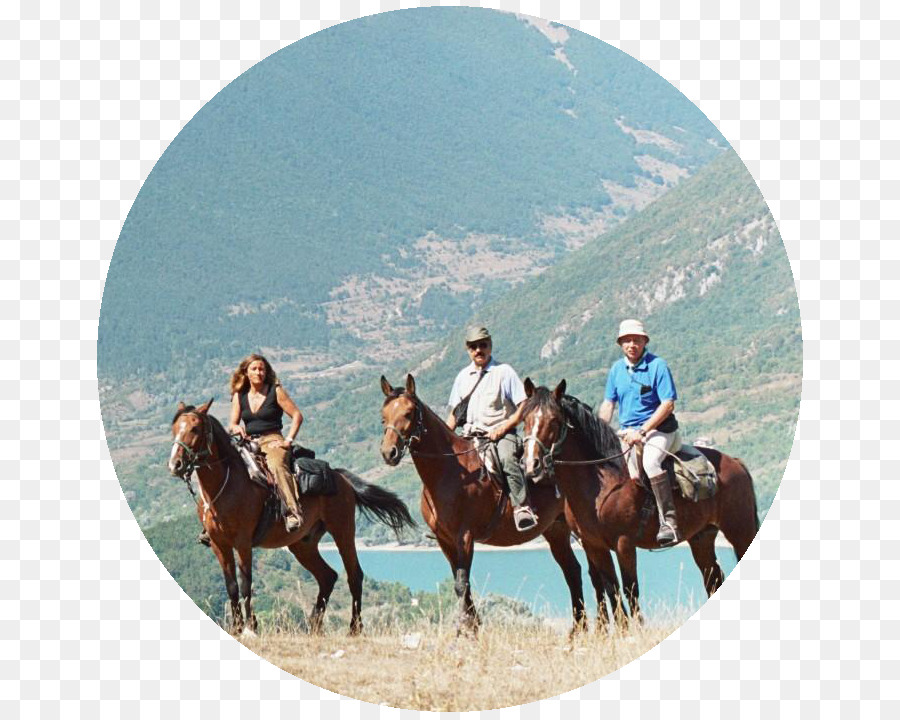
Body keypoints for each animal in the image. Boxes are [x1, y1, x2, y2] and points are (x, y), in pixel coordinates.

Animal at [169, 400, 414, 636]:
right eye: (174, 428)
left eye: (195, 428)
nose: (175, 464)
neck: (226, 486)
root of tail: (340, 477)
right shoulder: (219, 544)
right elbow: (231, 586)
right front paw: (237, 627)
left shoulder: (243, 543)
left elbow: (246, 583)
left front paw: (251, 626)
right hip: (303, 544)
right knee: (327, 576)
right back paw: (313, 626)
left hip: (343, 532)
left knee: (354, 576)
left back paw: (354, 628)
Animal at [376, 374, 624, 632]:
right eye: (384, 415)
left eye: (409, 413)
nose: (389, 452)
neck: (450, 472)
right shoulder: (445, 540)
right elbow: (460, 584)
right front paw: (469, 628)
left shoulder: (464, 537)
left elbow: (462, 583)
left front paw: (469, 631)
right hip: (556, 530)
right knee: (573, 571)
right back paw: (578, 629)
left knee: (593, 574)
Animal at [520, 380, 760, 620]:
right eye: (525, 419)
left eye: (554, 419)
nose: (531, 464)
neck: (602, 485)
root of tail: (735, 463)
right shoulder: (594, 546)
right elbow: (612, 589)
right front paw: (624, 626)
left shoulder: (624, 543)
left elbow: (630, 589)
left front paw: (637, 624)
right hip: (702, 537)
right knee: (713, 579)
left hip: (740, 531)